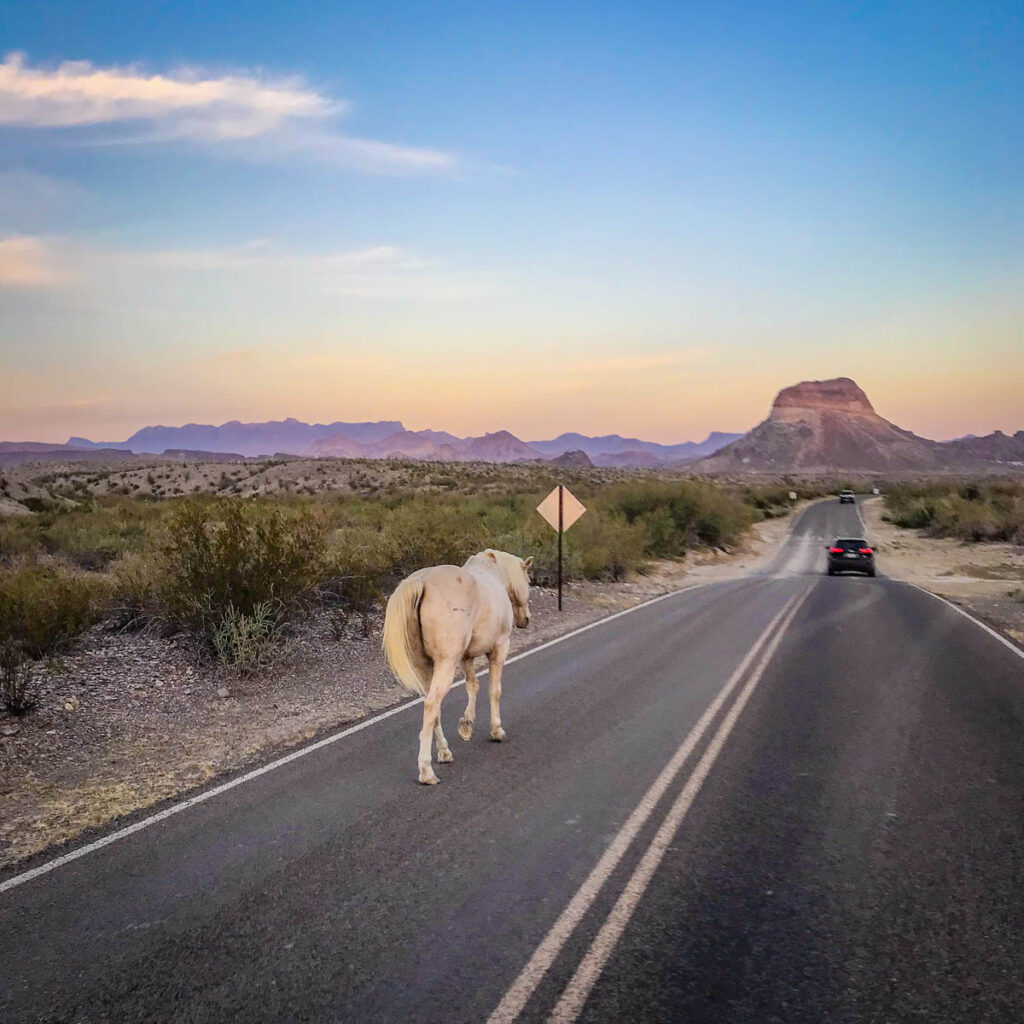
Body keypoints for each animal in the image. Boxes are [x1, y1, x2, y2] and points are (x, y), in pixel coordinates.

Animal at [380, 552, 532, 782]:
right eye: (529, 581)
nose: (526, 619)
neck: (494, 574)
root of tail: (422, 581)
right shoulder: (499, 649)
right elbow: (494, 690)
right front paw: (496, 730)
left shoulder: (466, 658)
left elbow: (473, 686)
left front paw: (466, 725)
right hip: (445, 664)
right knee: (432, 704)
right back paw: (426, 771)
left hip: (426, 666)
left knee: (433, 707)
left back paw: (444, 752)